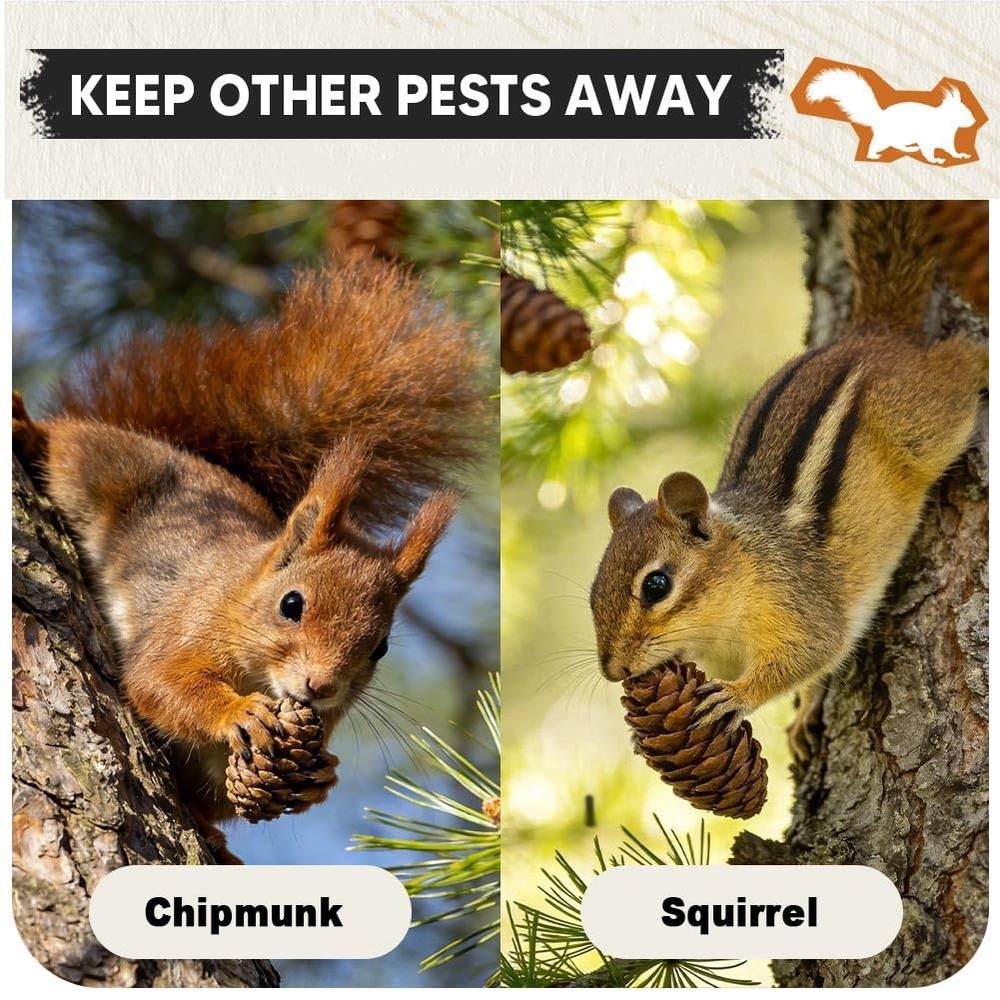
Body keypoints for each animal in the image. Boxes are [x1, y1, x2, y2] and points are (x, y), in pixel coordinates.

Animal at [13, 258, 487, 859]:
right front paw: (236, 711)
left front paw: (317, 777)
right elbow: (157, 682)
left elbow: (222, 784)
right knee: (65, 441)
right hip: (107, 467)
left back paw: (217, 841)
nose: (321, 688)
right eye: (292, 604)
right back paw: (24, 427)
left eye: (379, 647)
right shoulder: (185, 622)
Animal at [589, 201, 987, 761]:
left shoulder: (801, 604)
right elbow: (819, 673)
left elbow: (809, 656)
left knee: (963, 360)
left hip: (929, 420)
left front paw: (735, 696)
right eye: (593, 591)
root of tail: (875, 332)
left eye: (656, 585)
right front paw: (802, 718)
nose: (613, 670)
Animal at [805, 68, 976, 164]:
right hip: (885, 137)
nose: (974, 121)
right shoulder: (928, 138)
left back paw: (910, 148)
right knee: (874, 145)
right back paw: (873, 155)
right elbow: (928, 151)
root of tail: (879, 117)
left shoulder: (946, 140)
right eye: (963, 111)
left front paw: (960, 155)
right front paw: (936, 160)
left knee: (897, 145)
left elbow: (952, 150)